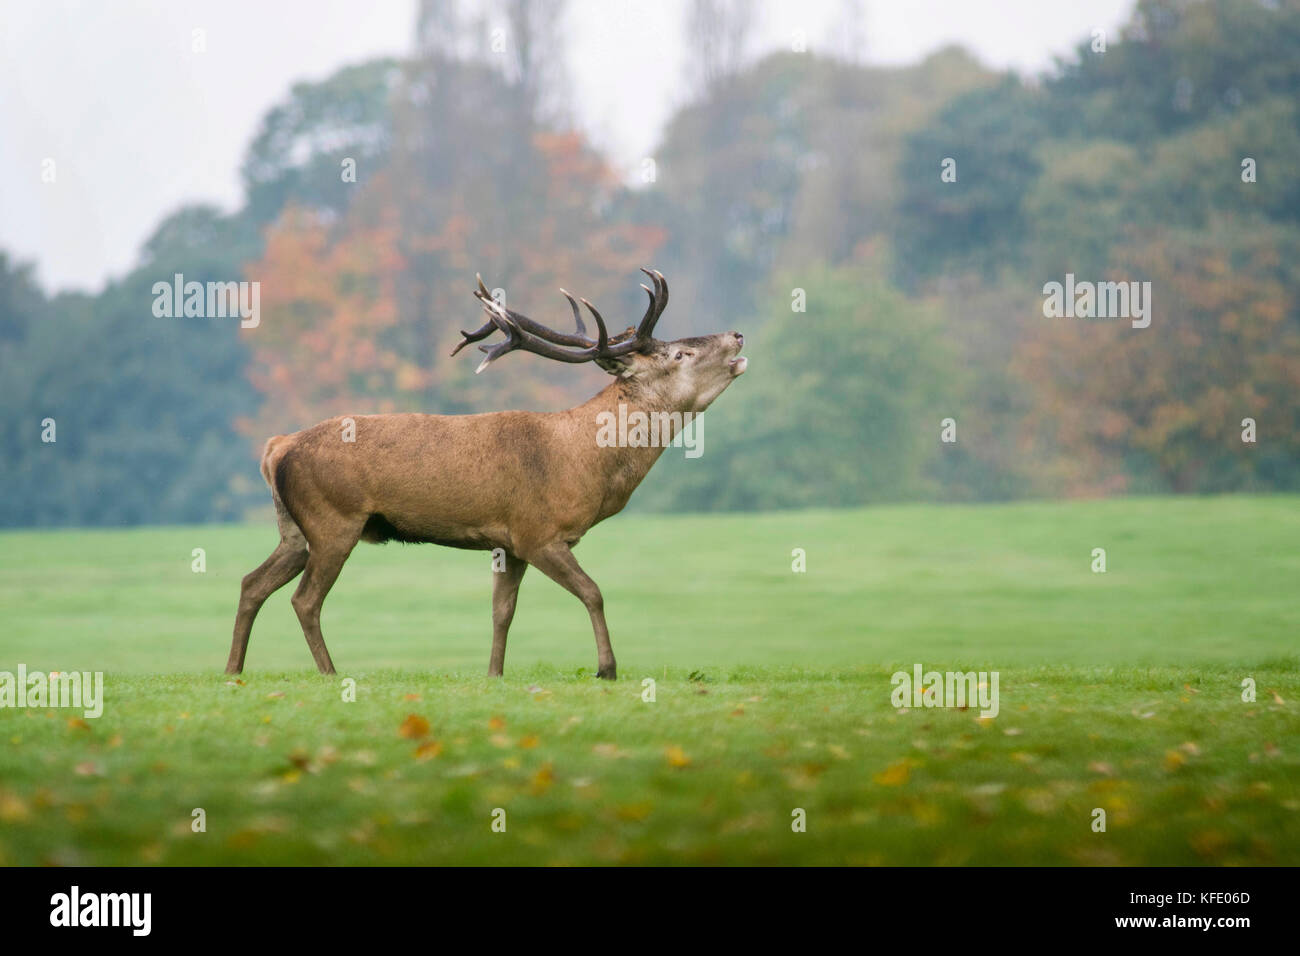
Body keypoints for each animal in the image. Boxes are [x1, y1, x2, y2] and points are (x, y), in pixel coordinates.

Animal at [228, 270, 748, 681]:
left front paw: (494, 674)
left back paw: (234, 669)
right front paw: (607, 668)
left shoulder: (509, 542)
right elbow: (593, 592)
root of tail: (276, 449)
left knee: (252, 582)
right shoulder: (539, 532)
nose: (738, 337)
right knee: (304, 600)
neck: (582, 463)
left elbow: (503, 612)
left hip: (296, 529)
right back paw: (330, 672)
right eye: (679, 355)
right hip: (333, 519)